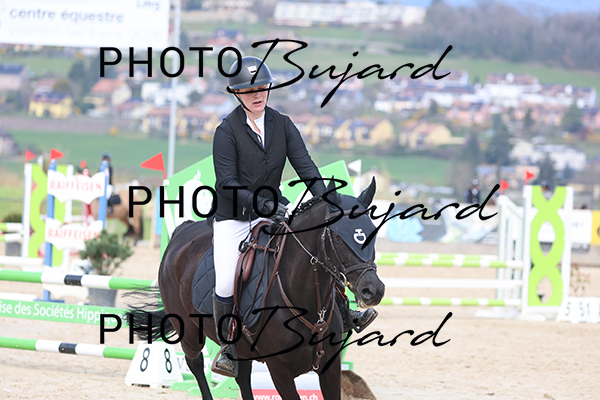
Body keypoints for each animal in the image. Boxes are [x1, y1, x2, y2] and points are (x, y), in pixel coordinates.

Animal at [127, 179, 385, 400]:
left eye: (373, 233)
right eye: (339, 238)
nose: (373, 290)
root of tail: (183, 231)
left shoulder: (330, 368)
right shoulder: (280, 371)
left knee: (242, 378)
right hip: (189, 331)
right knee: (196, 364)